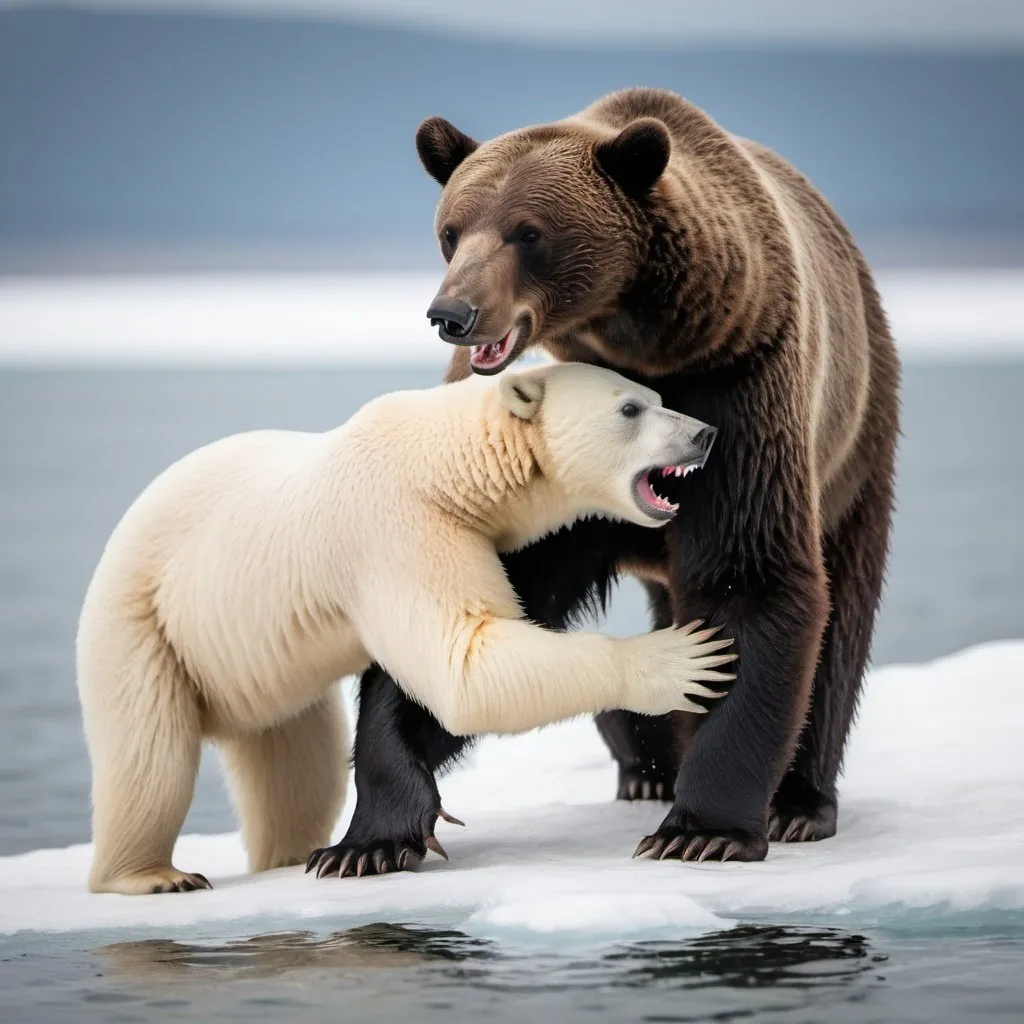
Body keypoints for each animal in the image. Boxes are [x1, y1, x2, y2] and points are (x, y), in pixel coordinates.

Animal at [77, 364, 729, 892]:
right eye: (630, 409)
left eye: (657, 395)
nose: (704, 434)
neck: (445, 459)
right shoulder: (401, 525)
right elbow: (462, 664)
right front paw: (681, 659)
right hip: (142, 626)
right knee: (149, 761)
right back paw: (155, 875)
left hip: (271, 685)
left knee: (297, 772)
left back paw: (283, 852)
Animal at [325, 88, 897, 872]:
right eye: (451, 229)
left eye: (527, 232)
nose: (453, 313)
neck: (626, 341)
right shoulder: (522, 470)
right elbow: (462, 604)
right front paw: (372, 835)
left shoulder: (739, 380)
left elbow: (749, 579)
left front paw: (703, 829)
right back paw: (645, 765)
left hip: (856, 438)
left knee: (842, 625)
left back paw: (798, 803)